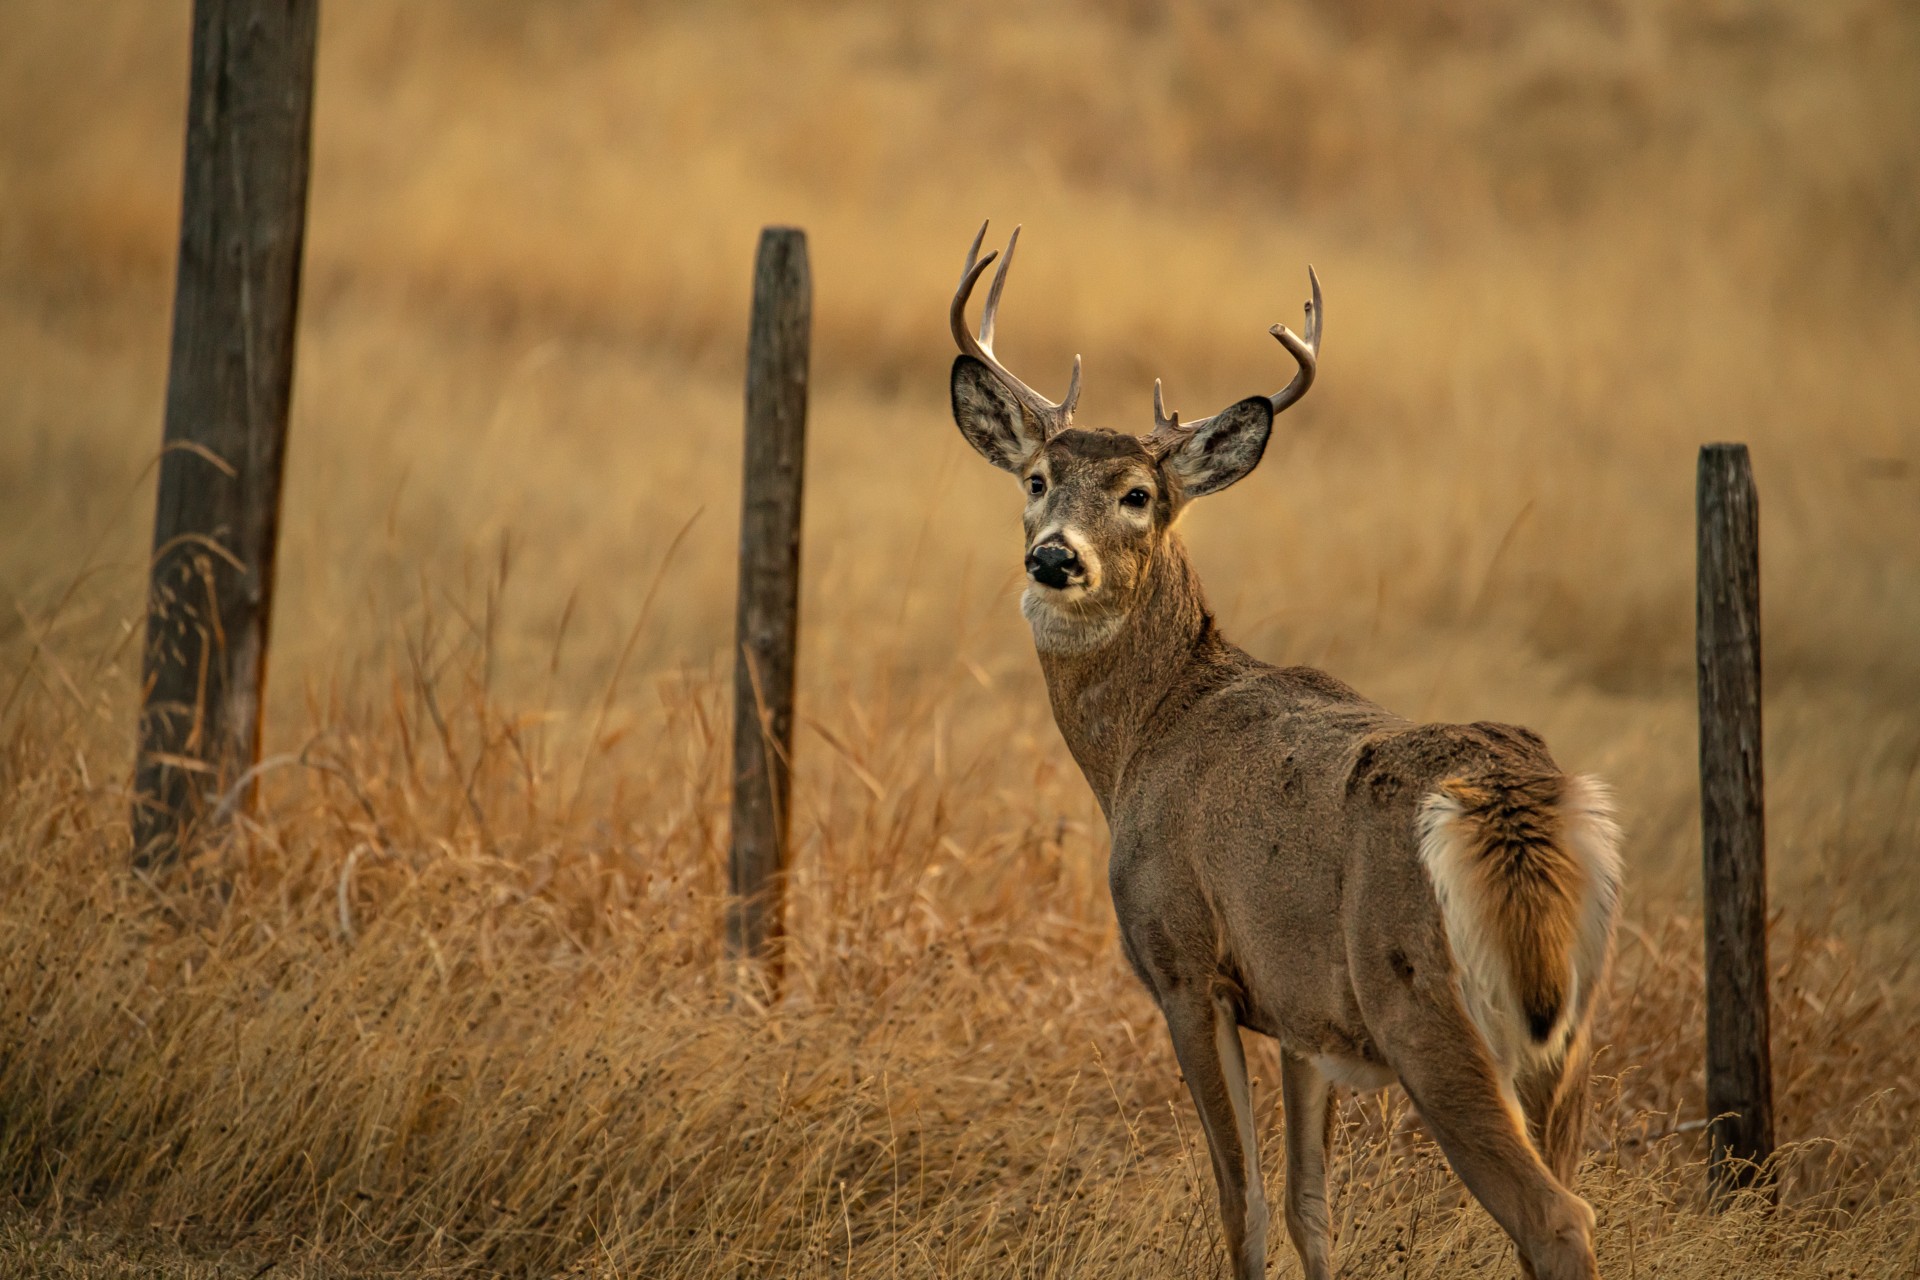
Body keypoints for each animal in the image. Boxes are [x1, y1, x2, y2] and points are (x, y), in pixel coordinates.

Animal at [945, 223, 1622, 1280]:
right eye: (1037, 480)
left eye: (1137, 495)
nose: (1054, 556)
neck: (1148, 733)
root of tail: (1517, 804)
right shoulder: (1305, 1016)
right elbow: (1311, 1205)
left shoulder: (1184, 962)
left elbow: (1242, 1201)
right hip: (1570, 1031)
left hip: (1424, 1003)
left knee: (1556, 1217)